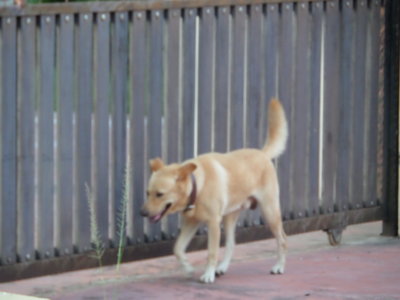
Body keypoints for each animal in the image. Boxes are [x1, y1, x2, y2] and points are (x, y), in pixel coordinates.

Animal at [141, 99, 288, 284]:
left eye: (160, 194)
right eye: (147, 193)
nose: (142, 213)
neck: (198, 185)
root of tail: (262, 154)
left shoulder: (213, 224)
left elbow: (211, 252)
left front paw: (208, 274)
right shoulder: (191, 223)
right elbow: (178, 248)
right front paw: (188, 269)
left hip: (270, 213)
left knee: (282, 239)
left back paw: (279, 266)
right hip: (230, 218)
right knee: (231, 244)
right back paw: (222, 267)